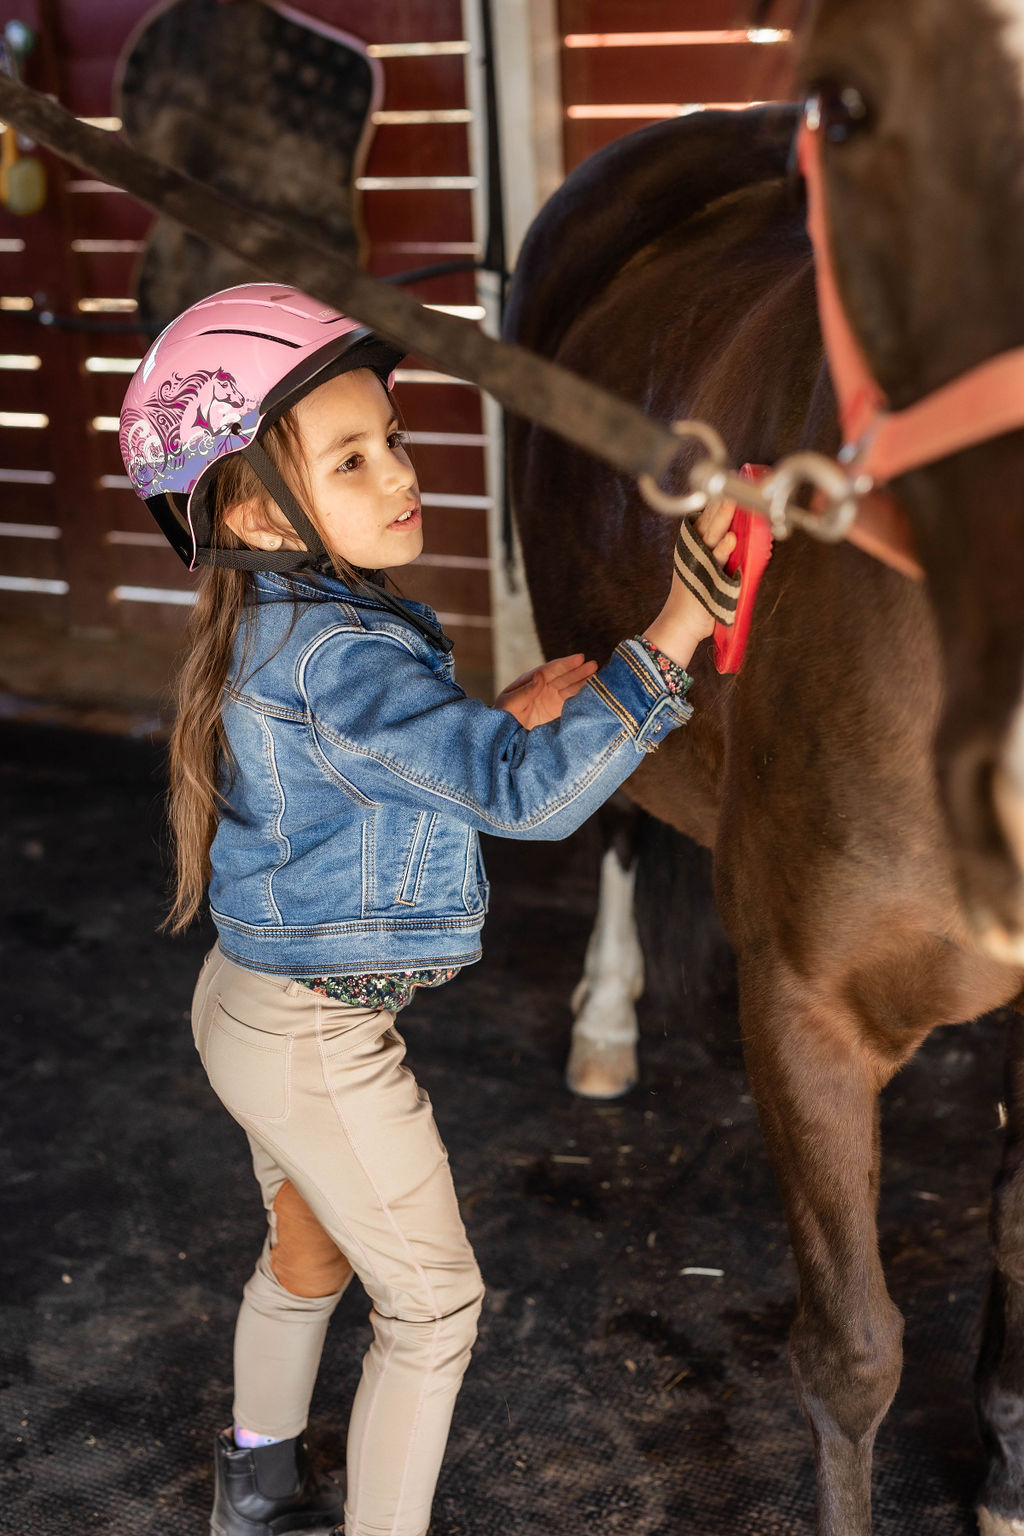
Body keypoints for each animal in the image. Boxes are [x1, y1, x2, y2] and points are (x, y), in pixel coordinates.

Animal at [503, 3, 1024, 1531]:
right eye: (844, 106)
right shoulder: (803, 1007)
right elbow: (850, 1358)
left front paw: (1008, 1464)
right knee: (614, 807)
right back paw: (605, 1023)